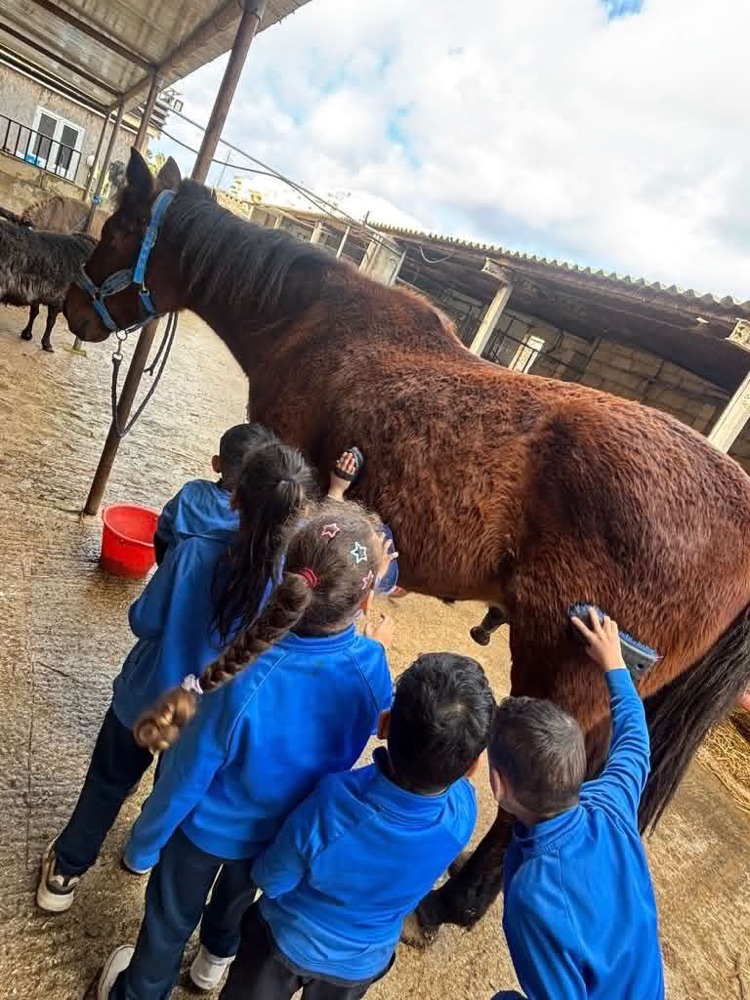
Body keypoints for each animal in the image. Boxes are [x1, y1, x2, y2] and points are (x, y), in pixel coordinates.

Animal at [64, 150, 750, 937]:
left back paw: (455, 902)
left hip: (567, 670)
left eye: (115, 230)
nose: (72, 308)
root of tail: (739, 503)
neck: (309, 321)